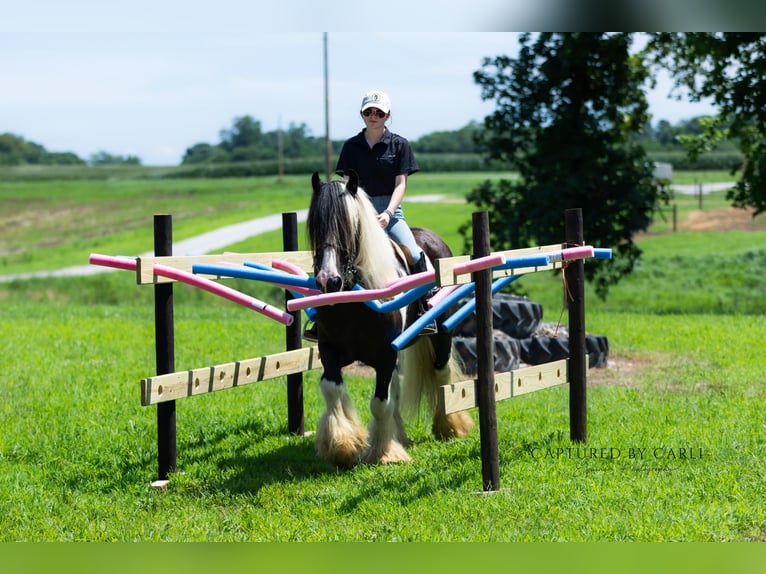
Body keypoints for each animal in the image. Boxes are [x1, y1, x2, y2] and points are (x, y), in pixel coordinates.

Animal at [306, 170, 473, 468]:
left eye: (349, 226)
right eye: (315, 225)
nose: (328, 280)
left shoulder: (385, 354)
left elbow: (379, 403)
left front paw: (384, 453)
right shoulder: (330, 349)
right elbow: (331, 389)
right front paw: (343, 445)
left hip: (443, 335)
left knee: (441, 373)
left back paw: (449, 426)